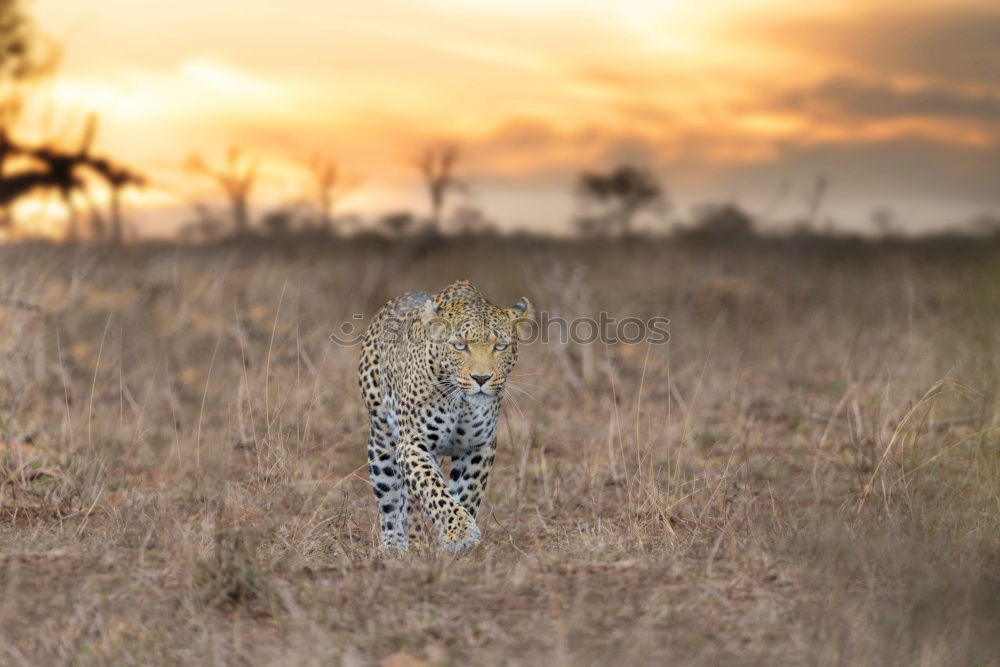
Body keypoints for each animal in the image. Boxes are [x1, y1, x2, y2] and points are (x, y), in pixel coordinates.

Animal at [358, 280, 532, 556]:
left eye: (500, 347)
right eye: (460, 346)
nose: (481, 378)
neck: (462, 402)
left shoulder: (478, 447)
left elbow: (467, 493)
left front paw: (459, 541)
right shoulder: (413, 444)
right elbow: (433, 488)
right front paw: (459, 533)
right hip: (382, 441)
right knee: (391, 500)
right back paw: (394, 547)